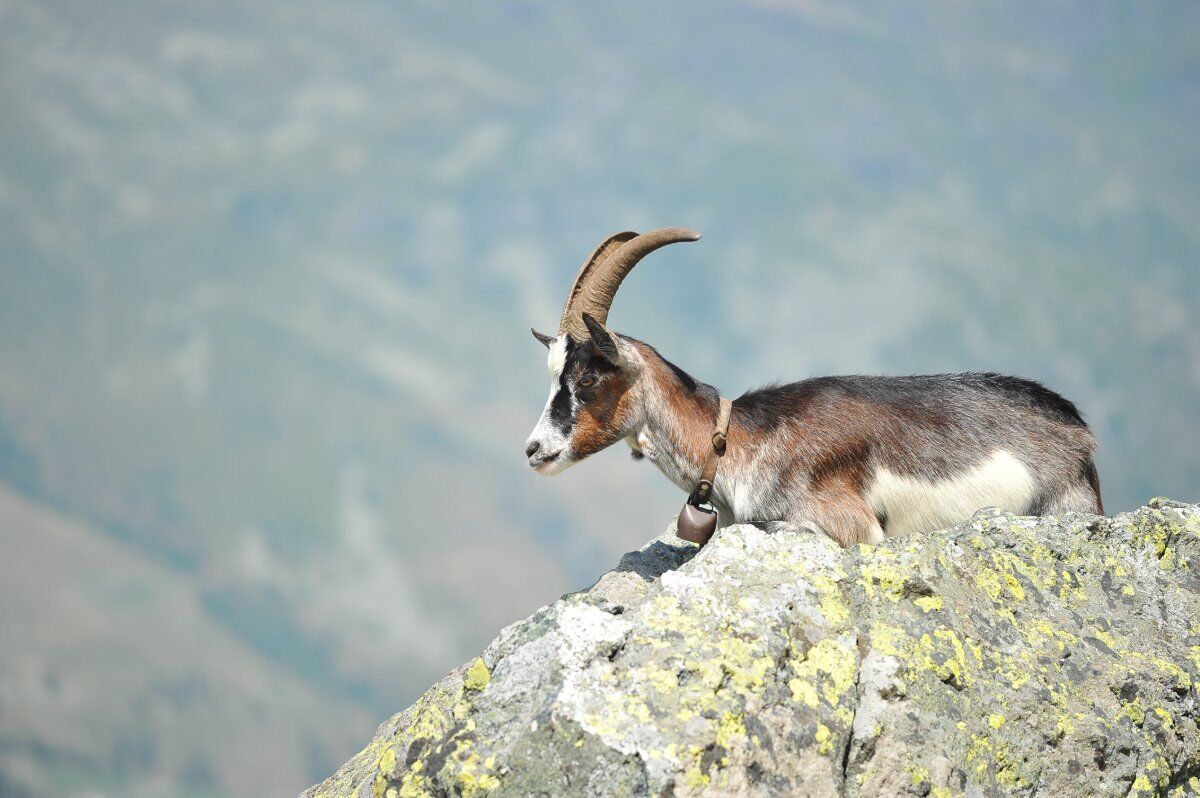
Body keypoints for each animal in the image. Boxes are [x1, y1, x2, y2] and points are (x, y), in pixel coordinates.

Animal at [525, 226, 1104, 544]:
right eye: (553, 374)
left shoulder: (849, 524)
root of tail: (1078, 430)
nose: (533, 450)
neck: (732, 441)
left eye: (588, 375)